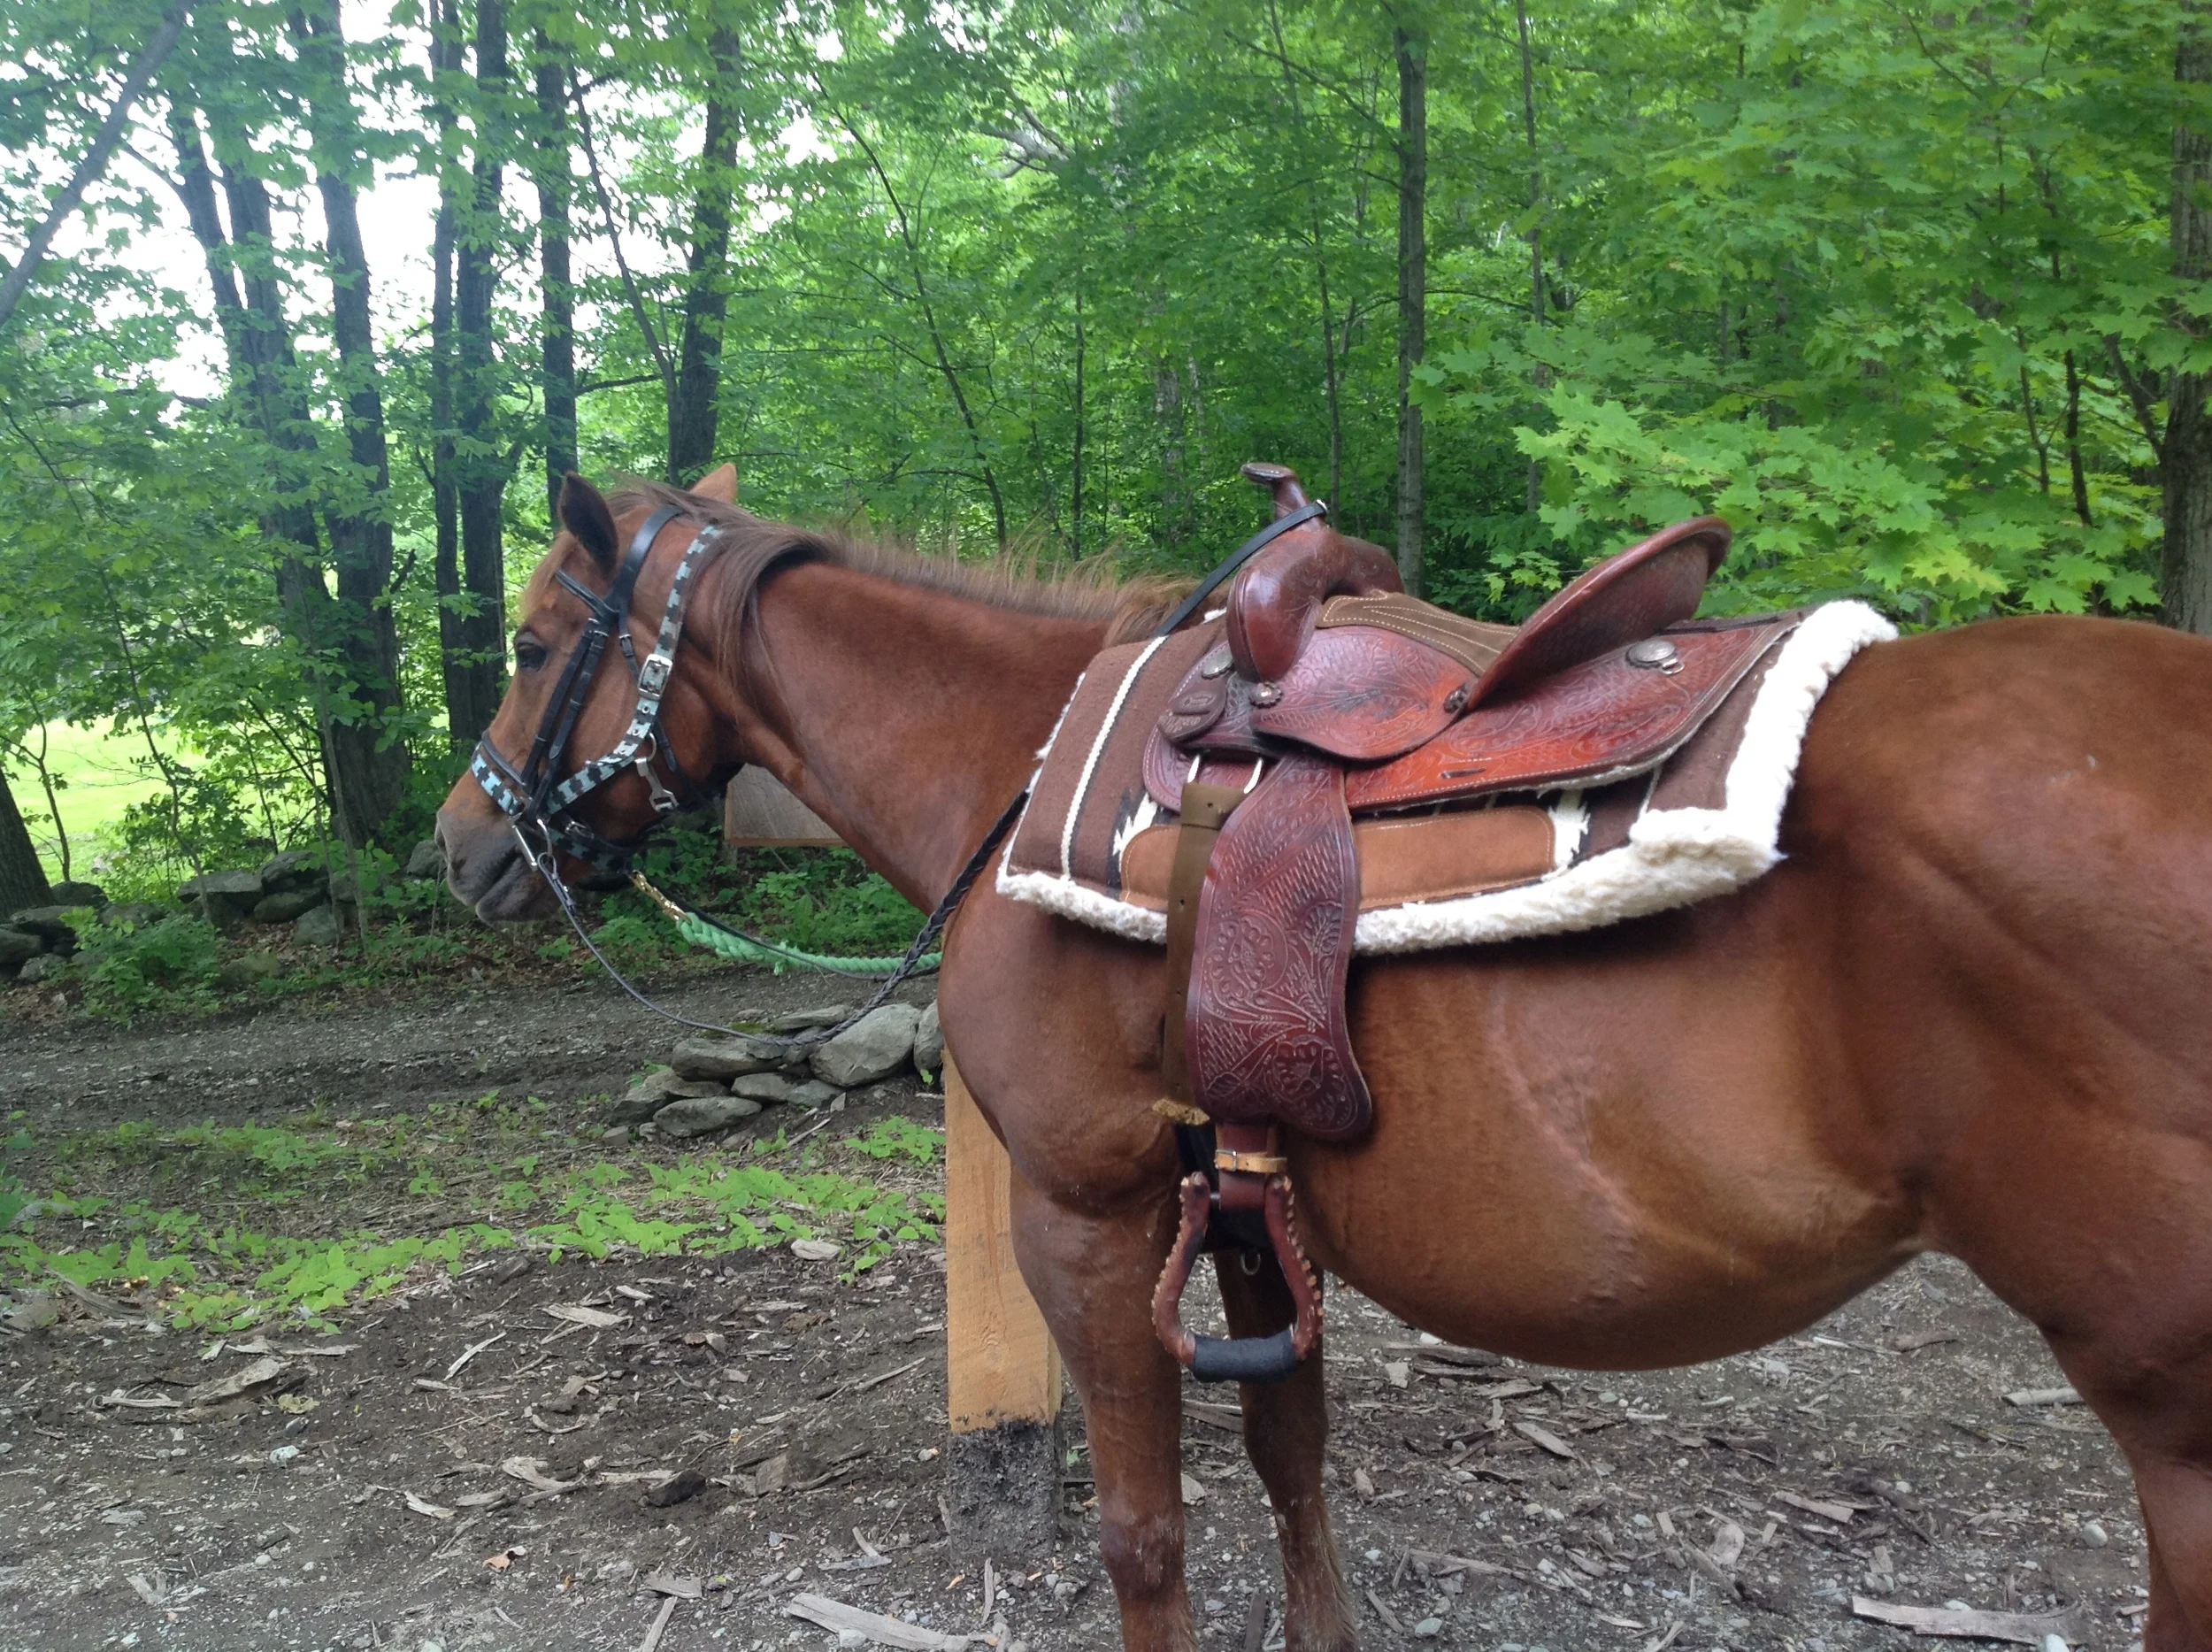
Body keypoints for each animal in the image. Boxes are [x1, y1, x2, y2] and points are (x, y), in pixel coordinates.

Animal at [436, 468, 2212, 1652]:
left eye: (527, 643)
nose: (459, 847)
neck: (1015, 768)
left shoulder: (1088, 1215)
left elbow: (1145, 1532)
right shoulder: (1236, 1186)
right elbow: (1294, 1460)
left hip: (2168, 1405)